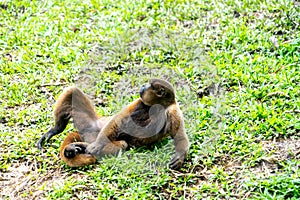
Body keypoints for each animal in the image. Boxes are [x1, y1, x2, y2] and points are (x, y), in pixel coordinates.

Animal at [36, 78, 189, 169]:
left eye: (149, 86)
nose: (142, 86)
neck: (158, 107)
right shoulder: (140, 102)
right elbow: (118, 120)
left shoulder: (173, 111)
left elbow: (179, 136)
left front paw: (180, 156)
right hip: (90, 125)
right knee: (72, 91)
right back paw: (57, 130)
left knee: (123, 144)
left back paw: (77, 148)